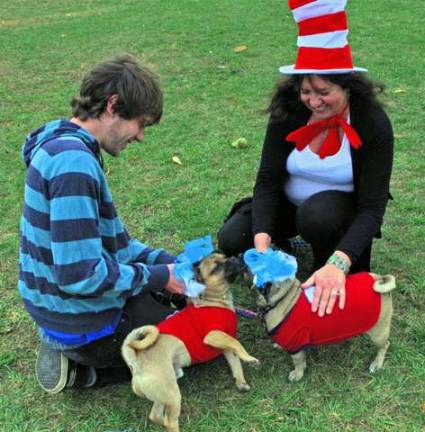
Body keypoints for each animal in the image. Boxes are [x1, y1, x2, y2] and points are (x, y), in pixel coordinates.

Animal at [121, 253, 256, 432]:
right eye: (216, 267)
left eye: (224, 257)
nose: (234, 257)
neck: (212, 300)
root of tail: (136, 361)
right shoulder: (215, 335)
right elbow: (236, 344)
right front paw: (249, 358)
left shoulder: (224, 345)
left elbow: (235, 363)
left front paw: (241, 382)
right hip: (172, 394)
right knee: (169, 420)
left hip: (163, 394)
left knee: (155, 415)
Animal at [252, 270, 394, 382]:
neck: (284, 297)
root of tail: (378, 278)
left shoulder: (296, 345)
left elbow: (298, 361)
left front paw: (298, 374)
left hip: (378, 333)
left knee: (384, 346)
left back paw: (377, 363)